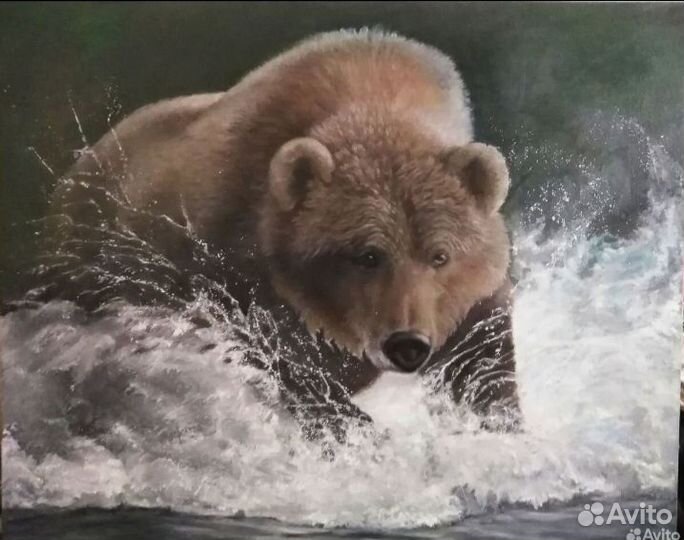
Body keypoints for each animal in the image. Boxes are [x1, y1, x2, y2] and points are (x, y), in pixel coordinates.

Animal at [52, 29, 520, 435]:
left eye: (440, 255)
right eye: (367, 255)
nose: (407, 344)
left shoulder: (468, 305)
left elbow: (484, 363)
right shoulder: (241, 271)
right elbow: (288, 363)